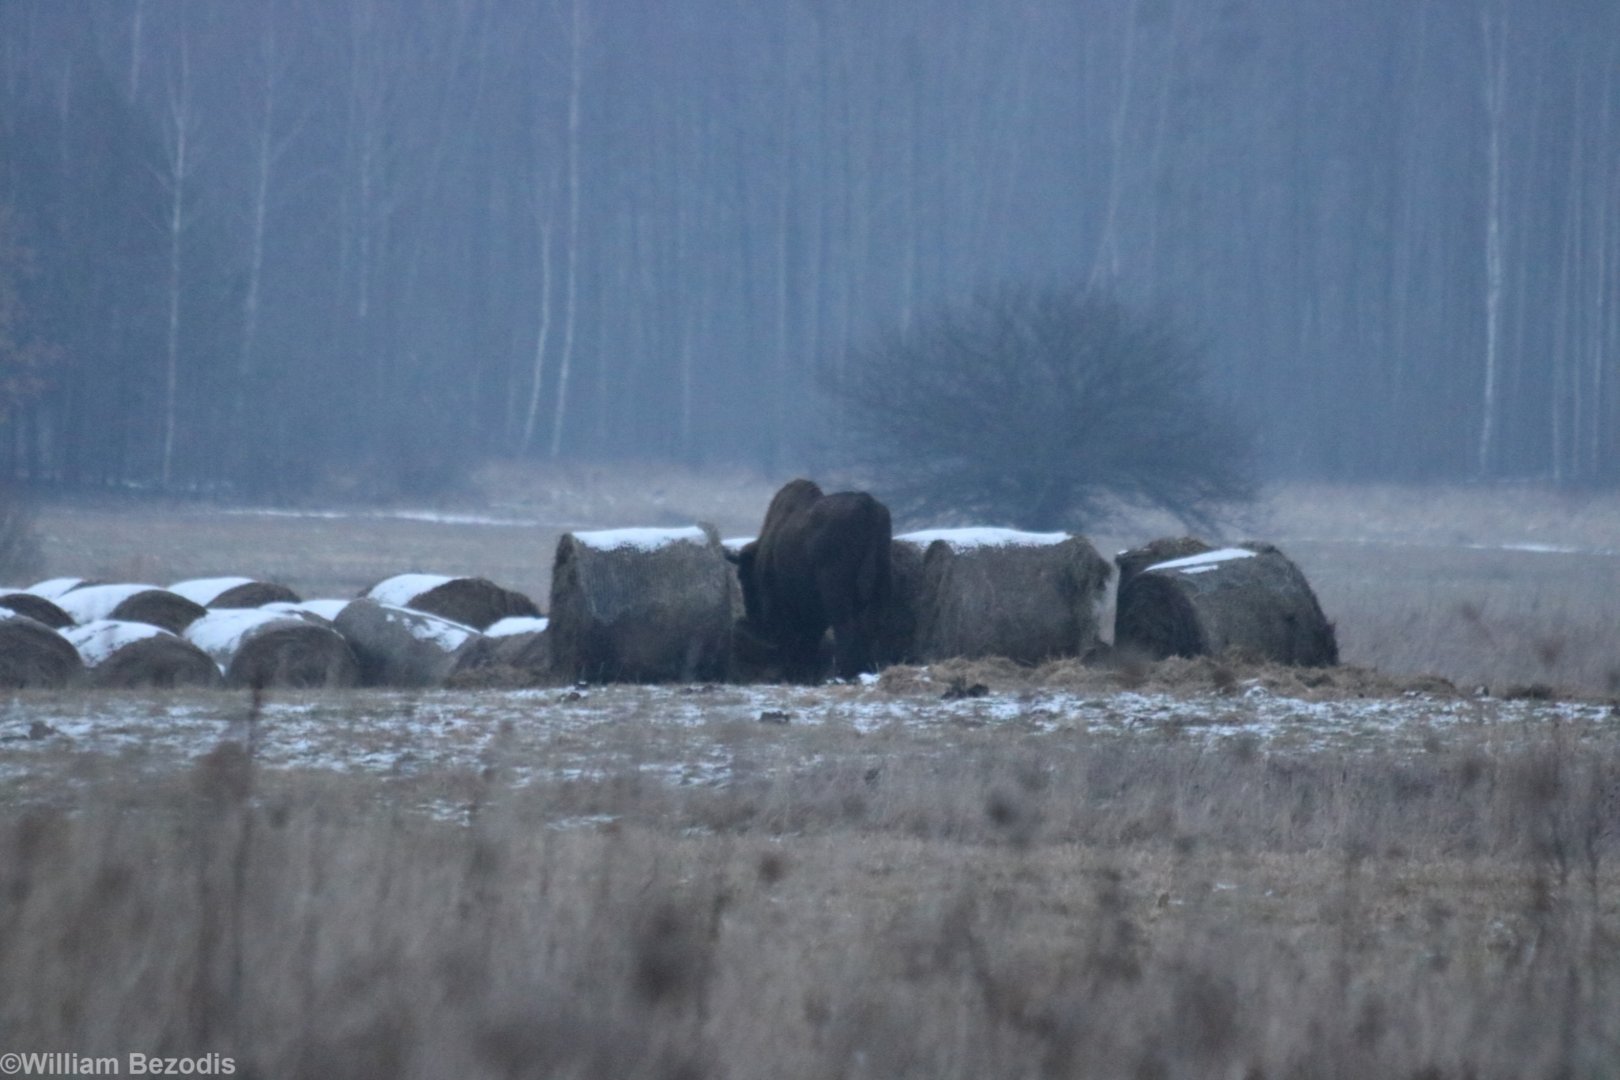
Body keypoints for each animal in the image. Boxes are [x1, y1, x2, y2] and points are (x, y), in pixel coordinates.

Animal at [729, 479, 892, 681]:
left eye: (742, 575)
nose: (751, 616)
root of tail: (866, 504)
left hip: (835, 592)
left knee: (845, 627)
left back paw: (841, 673)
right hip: (881, 582)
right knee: (875, 624)